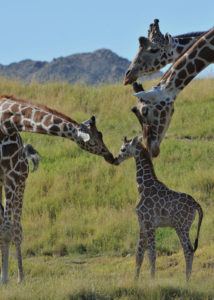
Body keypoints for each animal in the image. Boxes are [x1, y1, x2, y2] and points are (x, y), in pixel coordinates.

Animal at [113, 137, 202, 282]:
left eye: (123, 149)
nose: (116, 159)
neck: (142, 186)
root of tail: (196, 205)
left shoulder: (149, 223)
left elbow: (151, 253)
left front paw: (152, 280)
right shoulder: (142, 223)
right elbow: (139, 253)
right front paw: (135, 280)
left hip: (181, 227)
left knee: (188, 250)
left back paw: (187, 281)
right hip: (183, 227)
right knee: (189, 249)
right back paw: (188, 279)